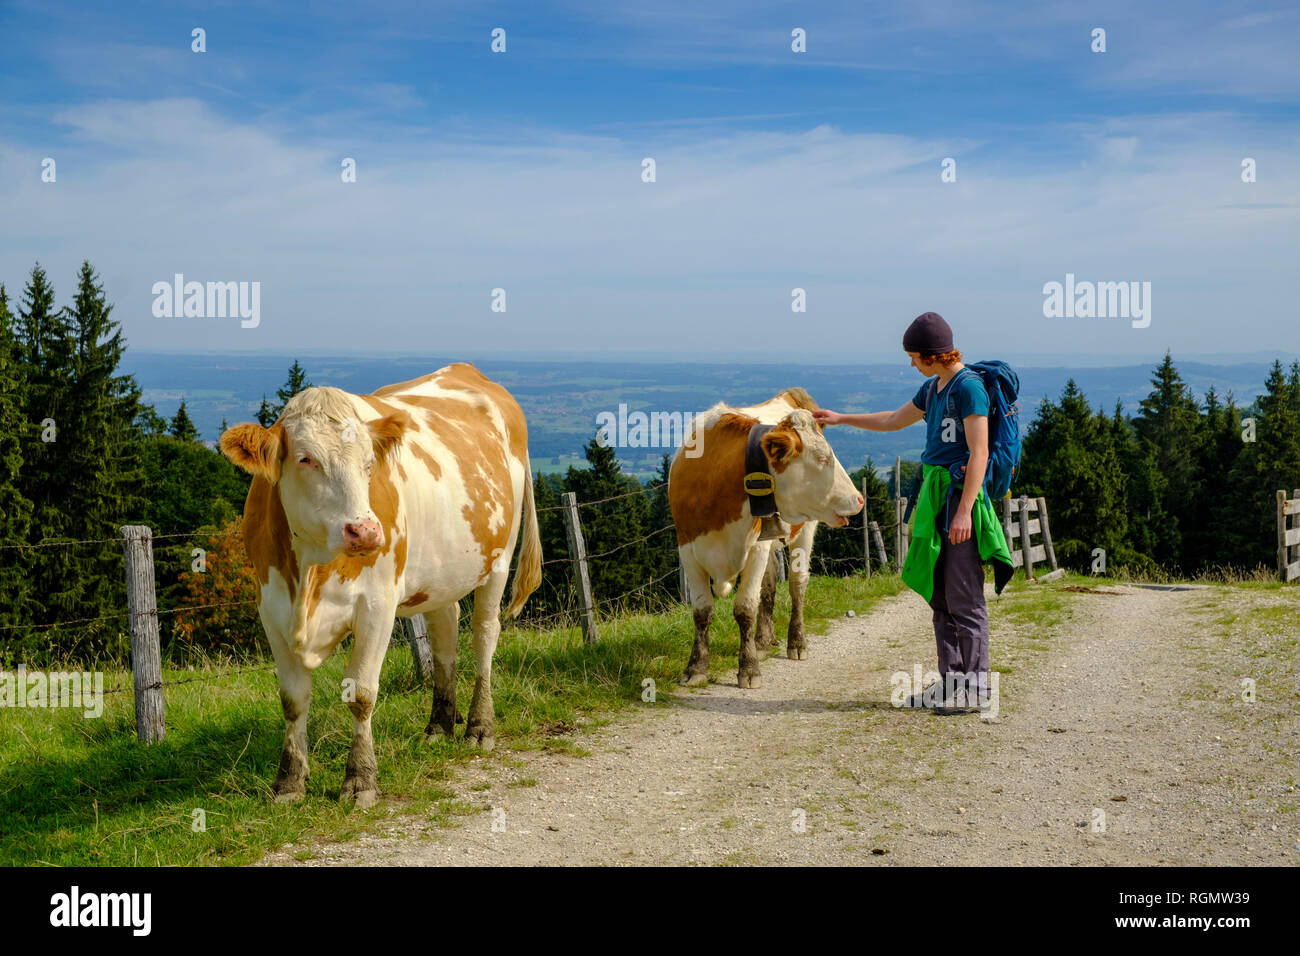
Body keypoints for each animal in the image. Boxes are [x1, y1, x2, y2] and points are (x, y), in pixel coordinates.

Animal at [218, 364, 538, 806]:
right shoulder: (271, 608)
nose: (366, 531)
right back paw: (440, 725)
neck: (310, 574)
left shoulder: (377, 606)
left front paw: (360, 780)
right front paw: (289, 783)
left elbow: (361, 694)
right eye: (305, 459)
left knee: (484, 636)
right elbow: (293, 700)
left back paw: (479, 726)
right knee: (445, 635)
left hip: (499, 560)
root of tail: (469, 372)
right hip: (441, 573)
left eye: (370, 464)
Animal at [670, 387, 863, 686]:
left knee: (796, 585)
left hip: (806, 529)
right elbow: (702, 611)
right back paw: (762, 641)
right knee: (769, 586)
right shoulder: (687, 548)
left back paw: (796, 642)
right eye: (823, 458)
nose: (859, 499)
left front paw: (748, 668)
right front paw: (696, 667)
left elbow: (745, 608)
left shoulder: (755, 549)